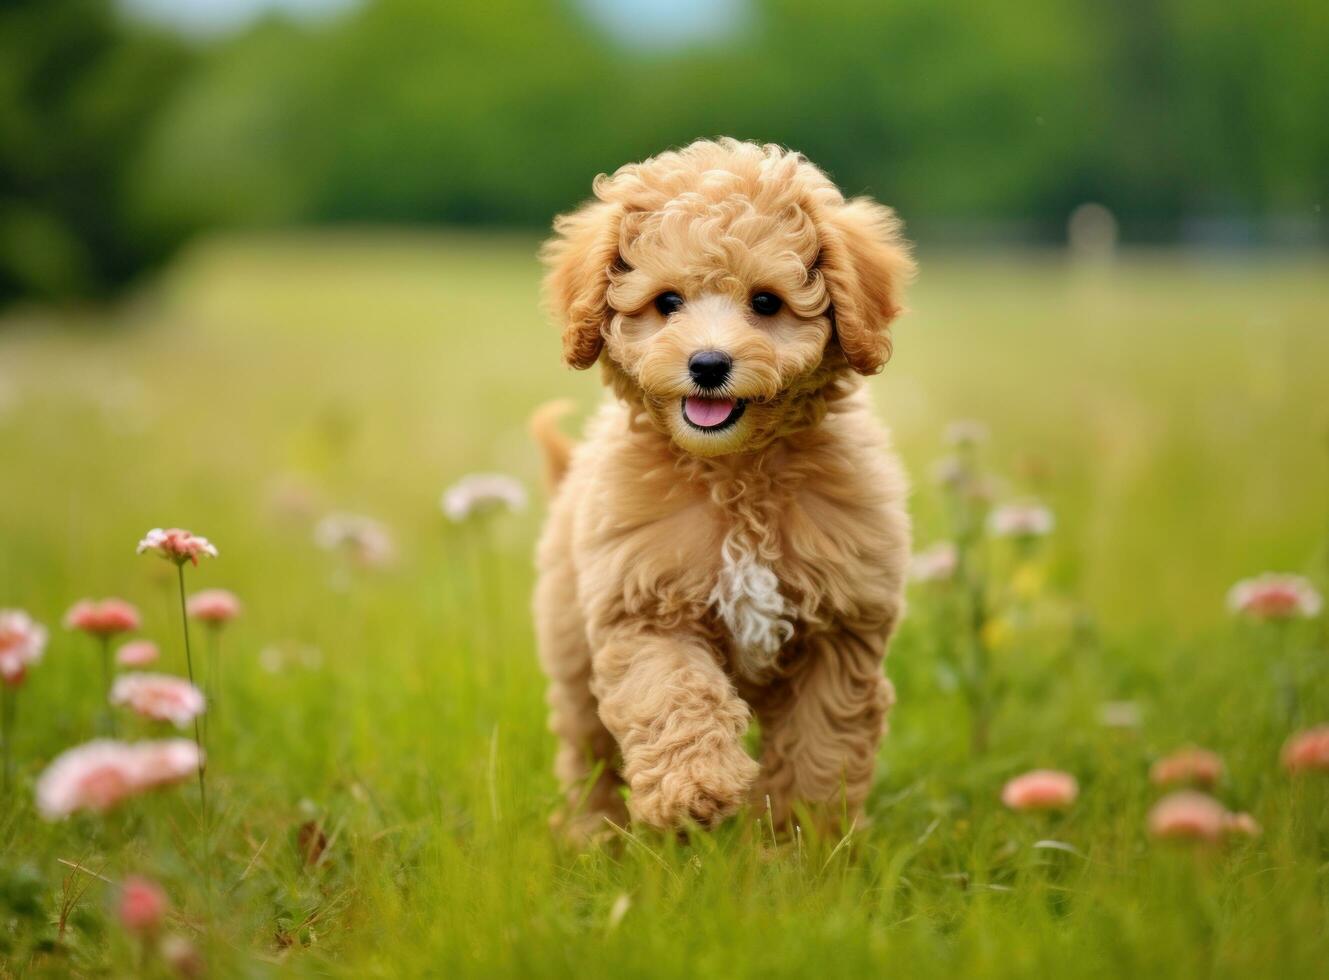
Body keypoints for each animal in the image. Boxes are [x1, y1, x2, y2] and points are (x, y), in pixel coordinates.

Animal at [528, 139, 914, 840]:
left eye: (765, 302)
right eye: (666, 302)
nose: (708, 364)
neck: (737, 476)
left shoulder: (841, 629)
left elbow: (823, 743)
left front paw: (807, 839)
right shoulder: (643, 604)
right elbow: (673, 689)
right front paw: (694, 788)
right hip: (569, 644)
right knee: (584, 746)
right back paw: (593, 838)